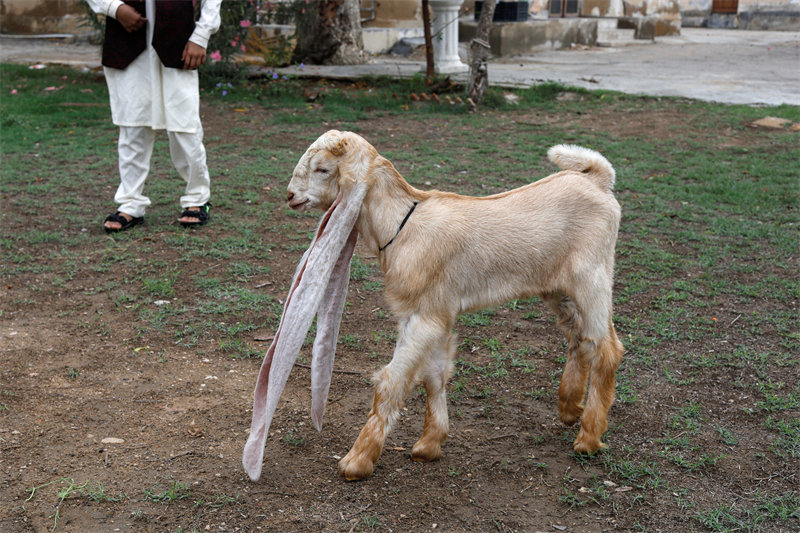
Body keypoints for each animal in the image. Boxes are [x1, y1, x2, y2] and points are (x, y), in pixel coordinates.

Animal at [242, 130, 624, 482]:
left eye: (322, 169)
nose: (290, 196)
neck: (403, 225)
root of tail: (597, 180)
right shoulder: (432, 313)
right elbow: (434, 375)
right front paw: (429, 444)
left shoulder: (425, 317)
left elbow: (391, 382)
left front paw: (357, 460)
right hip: (558, 288)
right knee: (579, 339)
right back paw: (569, 408)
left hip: (592, 277)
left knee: (606, 348)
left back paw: (589, 438)